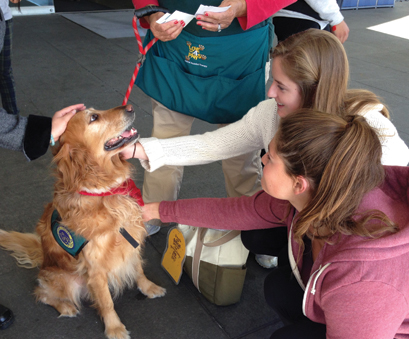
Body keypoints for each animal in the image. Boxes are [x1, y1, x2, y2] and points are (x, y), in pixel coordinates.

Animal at [0, 105, 164, 338]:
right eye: (93, 117)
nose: (130, 106)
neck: (104, 190)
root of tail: (43, 256)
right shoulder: (95, 268)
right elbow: (106, 302)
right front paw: (114, 328)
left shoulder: (131, 241)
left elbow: (138, 269)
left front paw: (149, 287)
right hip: (66, 281)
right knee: (41, 292)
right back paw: (65, 306)